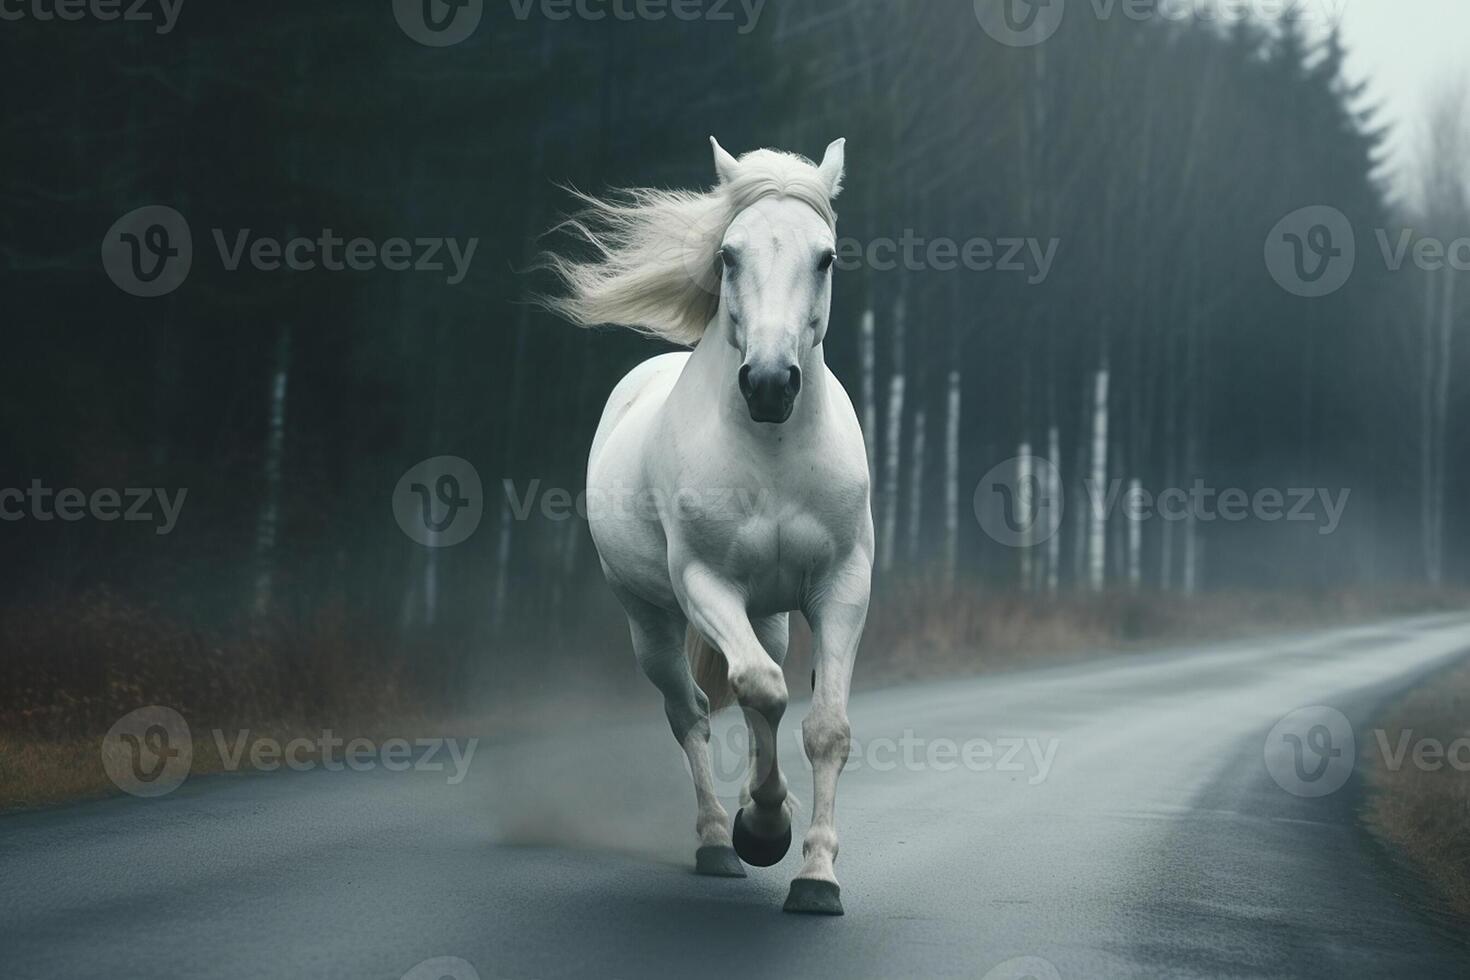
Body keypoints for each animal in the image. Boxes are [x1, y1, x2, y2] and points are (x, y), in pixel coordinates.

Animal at [549, 135, 870, 910]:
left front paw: (816, 877)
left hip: (770, 614)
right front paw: (764, 830)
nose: (770, 384)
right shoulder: (706, 583)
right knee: (691, 711)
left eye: (826, 257)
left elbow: (823, 725)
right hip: (651, 620)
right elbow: (758, 689)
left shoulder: (843, 586)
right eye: (729, 254)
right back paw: (721, 840)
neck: (774, 456)